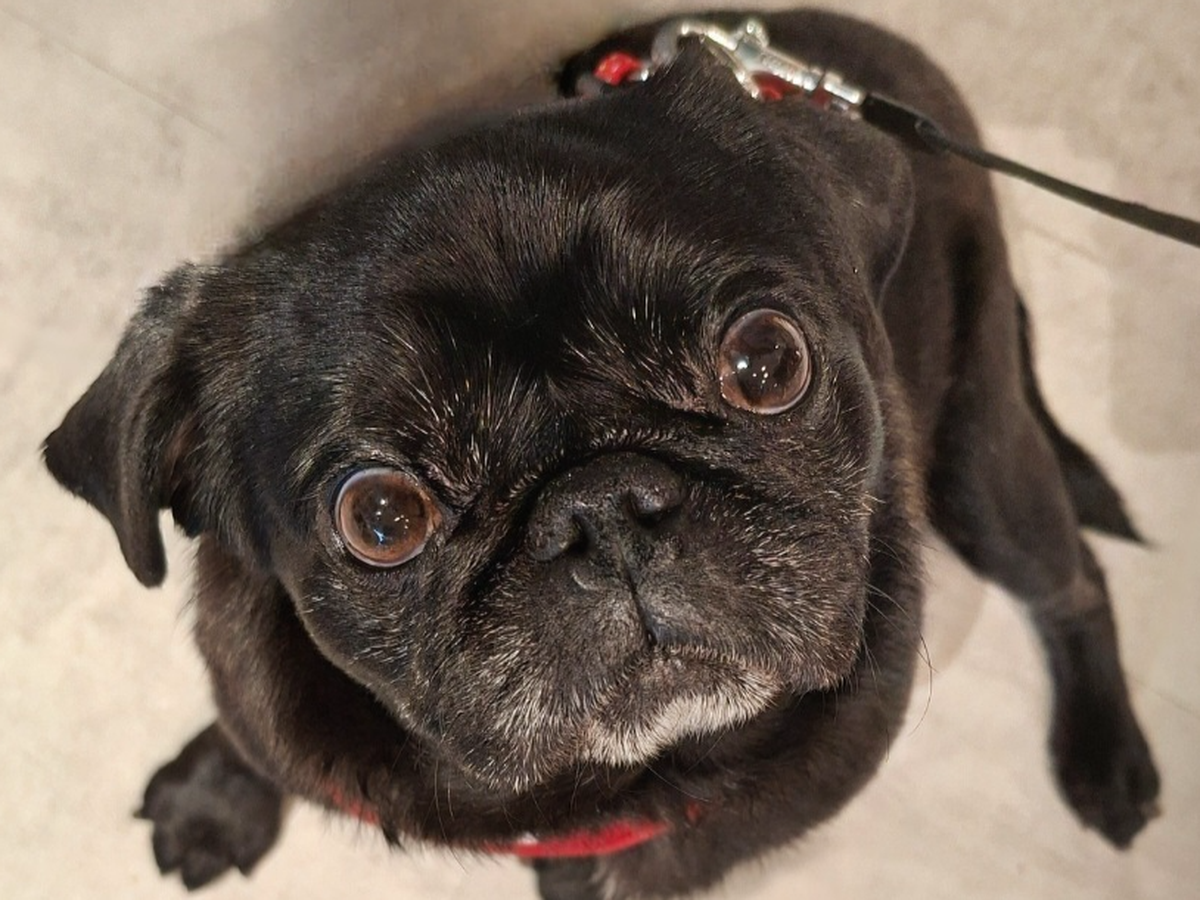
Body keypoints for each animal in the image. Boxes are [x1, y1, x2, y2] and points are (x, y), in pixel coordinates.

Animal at [43, 9, 1160, 899]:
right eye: (380, 519)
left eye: (765, 362)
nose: (604, 505)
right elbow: (252, 738)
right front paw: (216, 797)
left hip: (982, 465)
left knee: (1073, 578)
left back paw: (1107, 756)